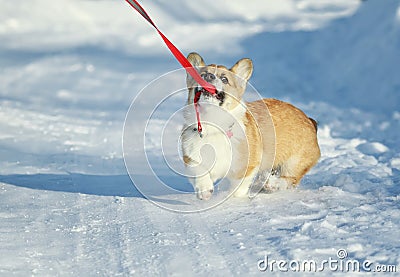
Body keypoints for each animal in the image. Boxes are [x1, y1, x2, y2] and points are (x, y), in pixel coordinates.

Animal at [180, 52, 320, 198]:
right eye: (202, 75)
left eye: (224, 79)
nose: (208, 77)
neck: (212, 122)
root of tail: (309, 120)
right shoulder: (191, 157)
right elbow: (199, 172)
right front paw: (204, 190)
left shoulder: (247, 166)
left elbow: (238, 188)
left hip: (293, 162)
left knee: (289, 179)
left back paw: (273, 184)